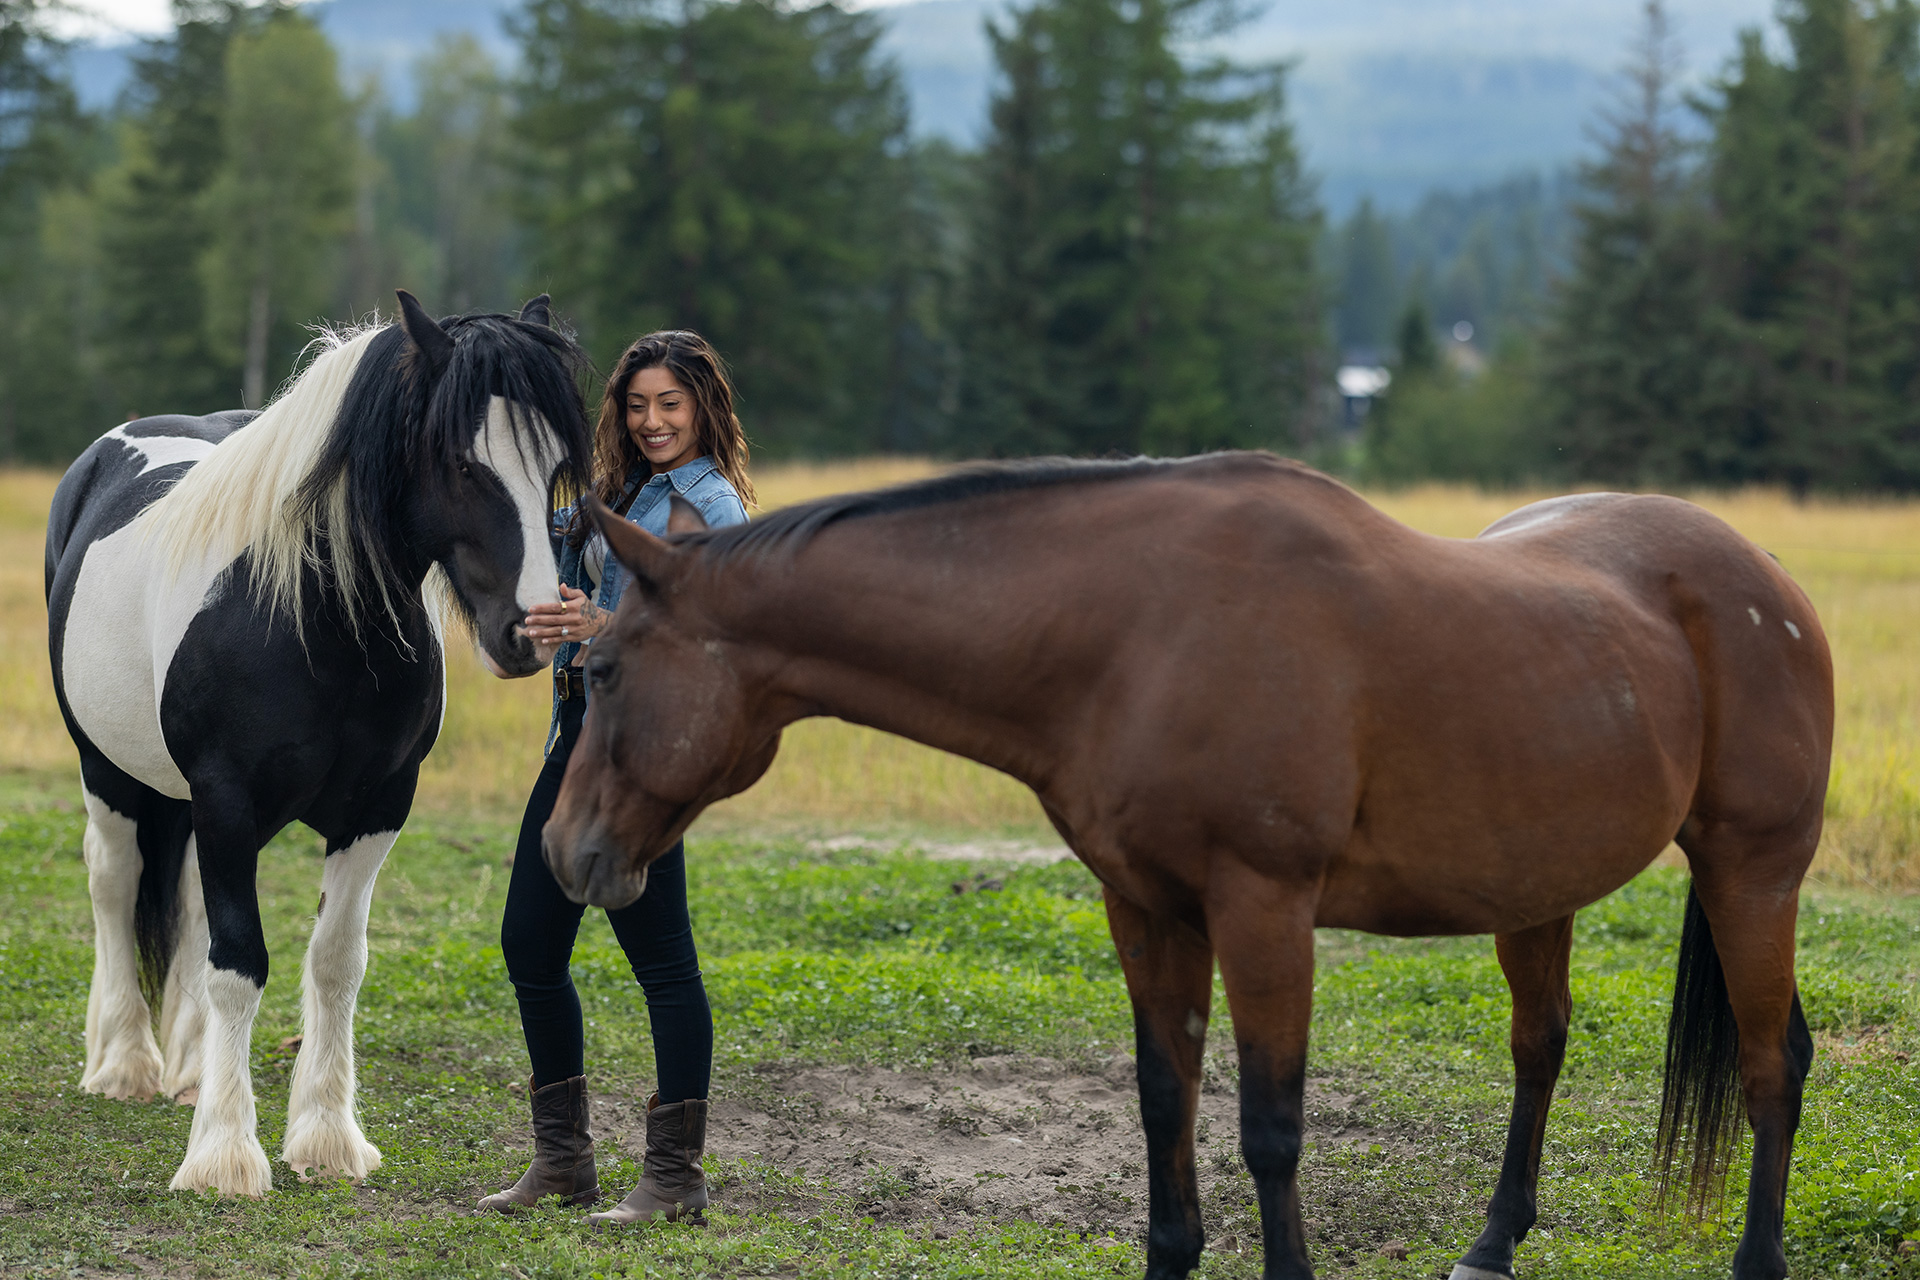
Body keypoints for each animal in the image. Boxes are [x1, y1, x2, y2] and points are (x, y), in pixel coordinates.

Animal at [44, 292, 590, 1197]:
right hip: (109, 771)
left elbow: (335, 960)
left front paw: (328, 1138)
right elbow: (240, 963)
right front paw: (225, 1155)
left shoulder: (377, 807)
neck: (309, 620)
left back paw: (189, 1071)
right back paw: (125, 1063)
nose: (535, 631)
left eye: (555, 471)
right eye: (459, 464)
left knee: (185, 901)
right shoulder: (227, 800)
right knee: (115, 883)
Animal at [541, 454, 1832, 1280]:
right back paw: (1490, 1243)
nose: (562, 851)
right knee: (1543, 1046)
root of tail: (1769, 577)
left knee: (1773, 1063)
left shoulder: (1264, 909)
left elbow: (1270, 1122)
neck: (1131, 630)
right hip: (1536, 887)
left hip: (1753, 872)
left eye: (600, 668)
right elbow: (1167, 1095)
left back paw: (1757, 1259)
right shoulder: (1148, 909)